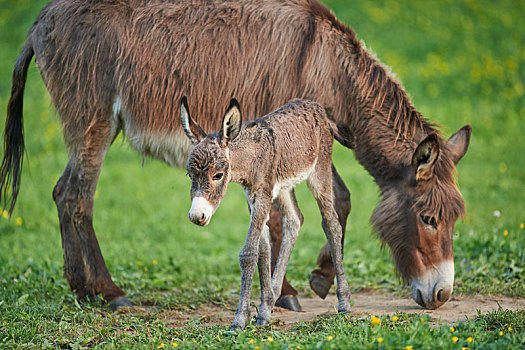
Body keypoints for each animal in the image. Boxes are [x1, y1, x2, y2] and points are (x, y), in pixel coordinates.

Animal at [181, 97, 352, 330]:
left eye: (218, 175)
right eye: (190, 174)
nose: (197, 216)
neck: (251, 158)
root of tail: (315, 106)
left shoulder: (263, 196)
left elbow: (248, 253)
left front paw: (239, 321)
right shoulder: (253, 197)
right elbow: (263, 248)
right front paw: (264, 312)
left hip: (320, 172)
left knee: (331, 224)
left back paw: (344, 303)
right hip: (284, 186)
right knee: (294, 220)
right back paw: (275, 298)